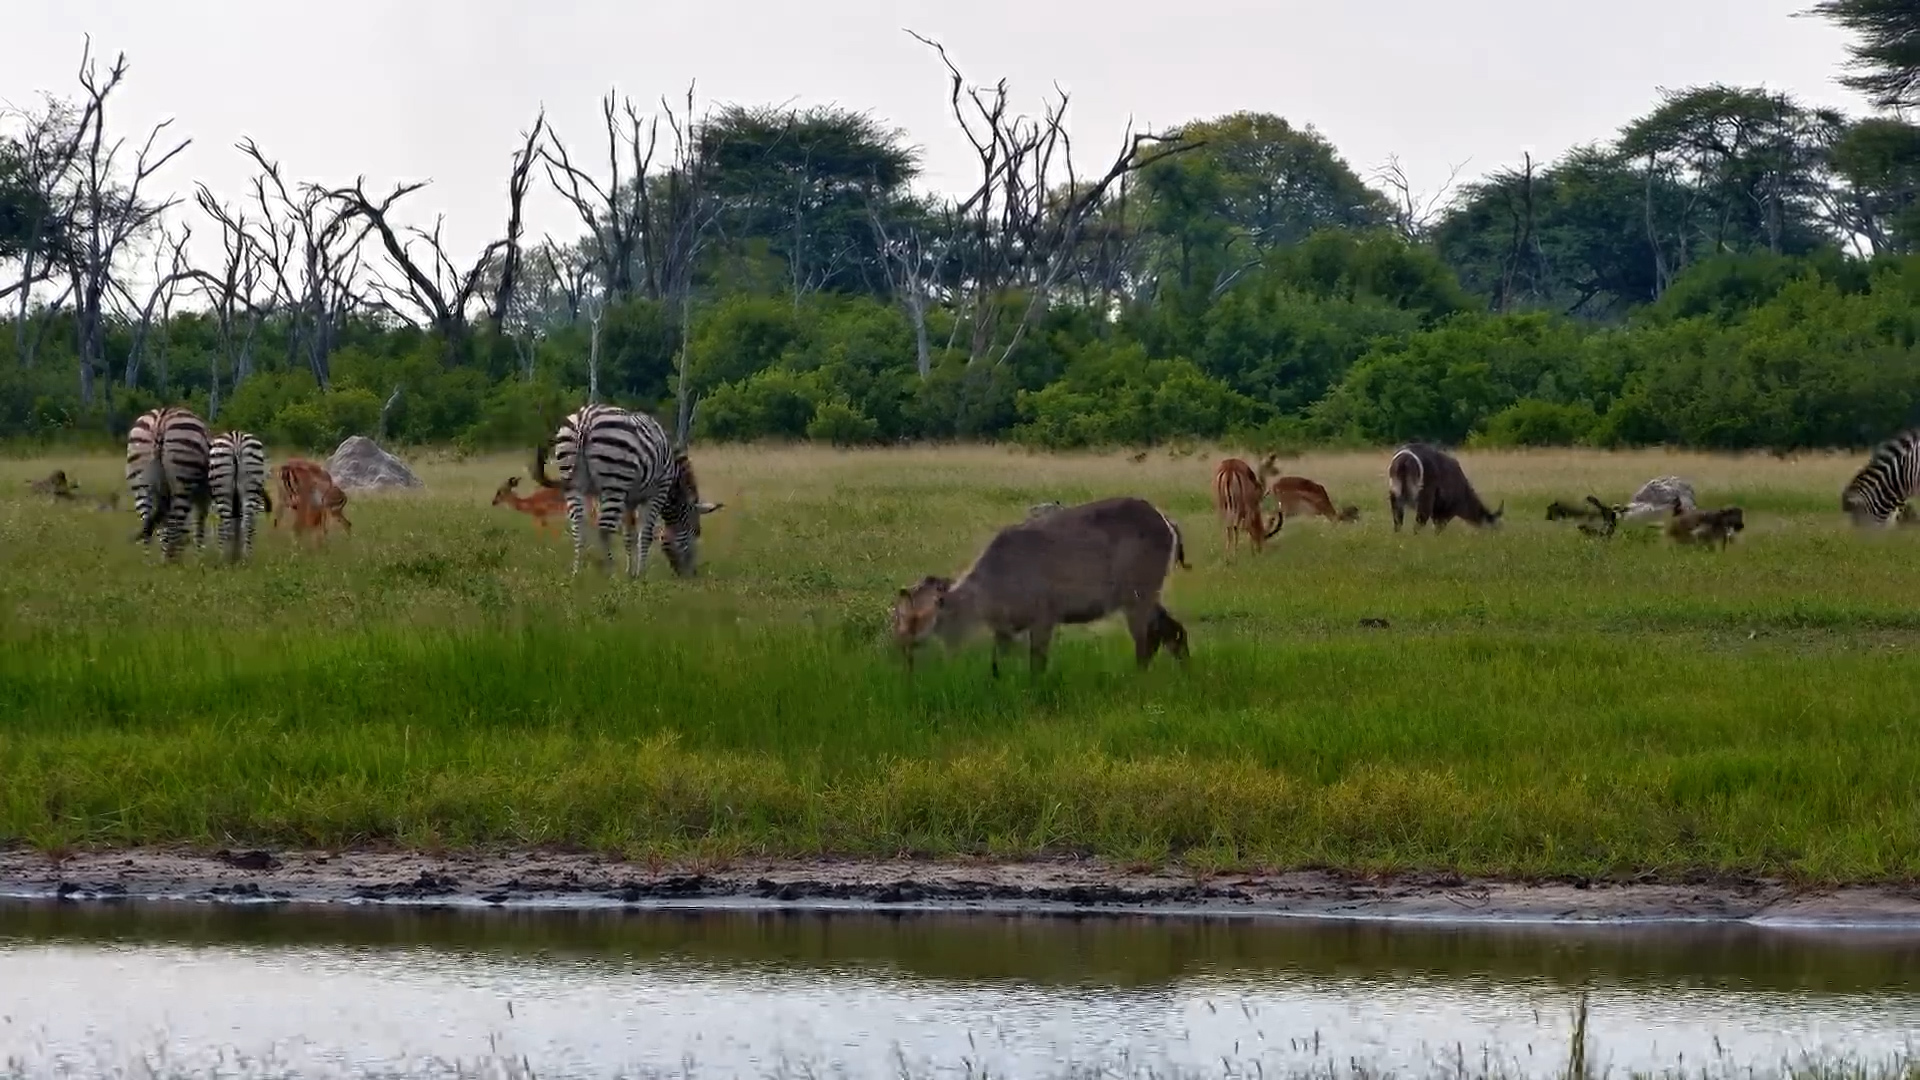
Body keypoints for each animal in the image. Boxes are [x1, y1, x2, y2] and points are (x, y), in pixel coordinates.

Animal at [125, 406, 213, 561]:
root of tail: (160, 420)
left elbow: (164, 528)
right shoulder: (203, 498)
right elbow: (198, 526)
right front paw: (198, 558)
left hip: (141, 482)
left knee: (147, 521)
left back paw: (149, 562)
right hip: (181, 482)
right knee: (174, 523)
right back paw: (170, 562)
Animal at [208, 431, 271, 562]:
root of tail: (236, 437)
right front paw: (236, 554)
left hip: (223, 490)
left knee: (226, 523)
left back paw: (223, 557)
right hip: (250, 484)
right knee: (246, 522)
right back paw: (245, 557)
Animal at [532, 404, 723, 577]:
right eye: (697, 532)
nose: (692, 574)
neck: (673, 477)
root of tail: (584, 420)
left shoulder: (629, 499)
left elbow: (628, 535)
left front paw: (630, 573)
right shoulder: (657, 493)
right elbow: (645, 534)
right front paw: (640, 574)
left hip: (574, 483)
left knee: (578, 526)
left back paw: (577, 573)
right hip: (614, 483)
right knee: (604, 530)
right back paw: (610, 574)